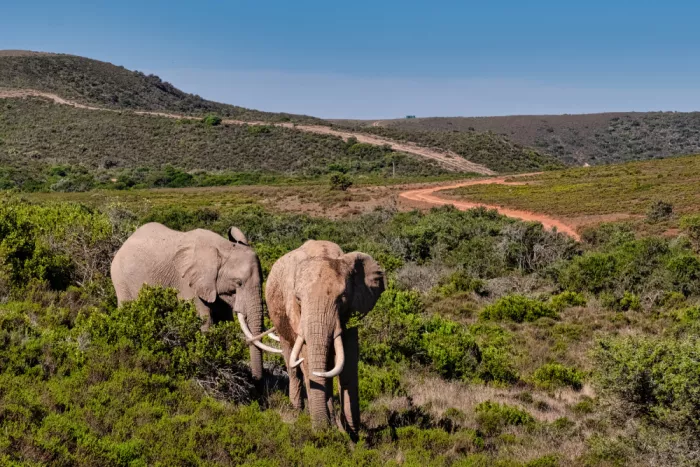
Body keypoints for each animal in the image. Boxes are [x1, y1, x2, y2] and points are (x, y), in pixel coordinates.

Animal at [110, 222, 281, 381]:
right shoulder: (187, 282)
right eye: (238, 283)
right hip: (121, 279)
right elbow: (204, 322)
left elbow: (224, 321)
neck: (223, 248)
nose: (256, 379)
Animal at [265, 240, 385, 437]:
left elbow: (349, 359)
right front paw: (325, 430)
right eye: (298, 299)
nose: (323, 430)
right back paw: (297, 412)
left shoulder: (351, 310)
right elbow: (306, 357)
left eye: (342, 298)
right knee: (292, 362)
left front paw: (352, 433)